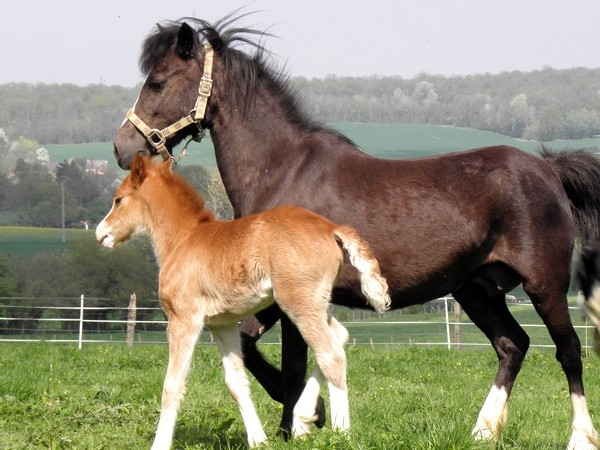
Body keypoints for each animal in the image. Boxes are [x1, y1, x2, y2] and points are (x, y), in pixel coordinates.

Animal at [113, 15, 600, 448]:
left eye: (157, 82)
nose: (121, 147)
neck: (283, 170)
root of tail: (549, 168)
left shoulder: (288, 297)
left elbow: (294, 363)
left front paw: (304, 421)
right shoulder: (275, 298)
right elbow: (266, 350)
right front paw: (307, 418)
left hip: (545, 285)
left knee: (568, 351)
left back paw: (578, 437)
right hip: (476, 289)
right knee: (512, 344)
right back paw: (482, 431)